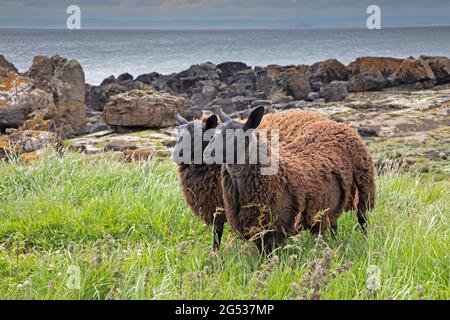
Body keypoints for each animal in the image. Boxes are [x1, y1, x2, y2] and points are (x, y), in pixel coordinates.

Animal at [206, 107, 374, 252]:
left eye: (236, 136)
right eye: (213, 134)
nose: (208, 153)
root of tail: (336, 124)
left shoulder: (274, 227)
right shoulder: (256, 228)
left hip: (364, 186)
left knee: (362, 219)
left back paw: (365, 240)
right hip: (329, 205)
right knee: (332, 225)